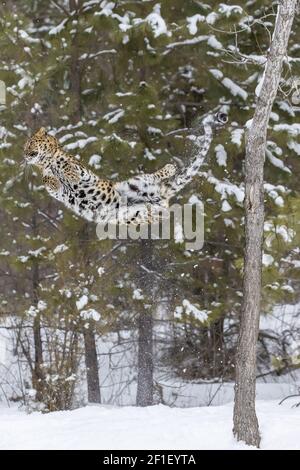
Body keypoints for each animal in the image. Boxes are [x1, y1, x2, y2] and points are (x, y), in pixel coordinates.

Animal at [24, 112, 227, 226]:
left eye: (30, 143)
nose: (24, 154)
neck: (46, 162)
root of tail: (160, 195)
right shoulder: (59, 193)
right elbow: (48, 181)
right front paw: (52, 179)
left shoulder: (82, 172)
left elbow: (67, 165)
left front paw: (69, 175)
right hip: (135, 212)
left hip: (136, 182)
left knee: (157, 175)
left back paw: (170, 167)